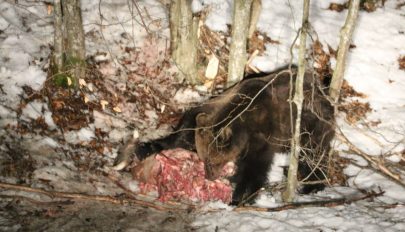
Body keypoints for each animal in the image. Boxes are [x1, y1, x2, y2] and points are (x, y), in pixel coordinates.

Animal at [114, 65, 334, 205]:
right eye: (204, 158)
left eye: (212, 160)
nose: (209, 176)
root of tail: (324, 91)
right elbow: (181, 135)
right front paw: (143, 148)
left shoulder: (261, 137)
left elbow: (254, 169)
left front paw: (239, 196)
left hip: (311, 128)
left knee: (313, 156)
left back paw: (312, 185)